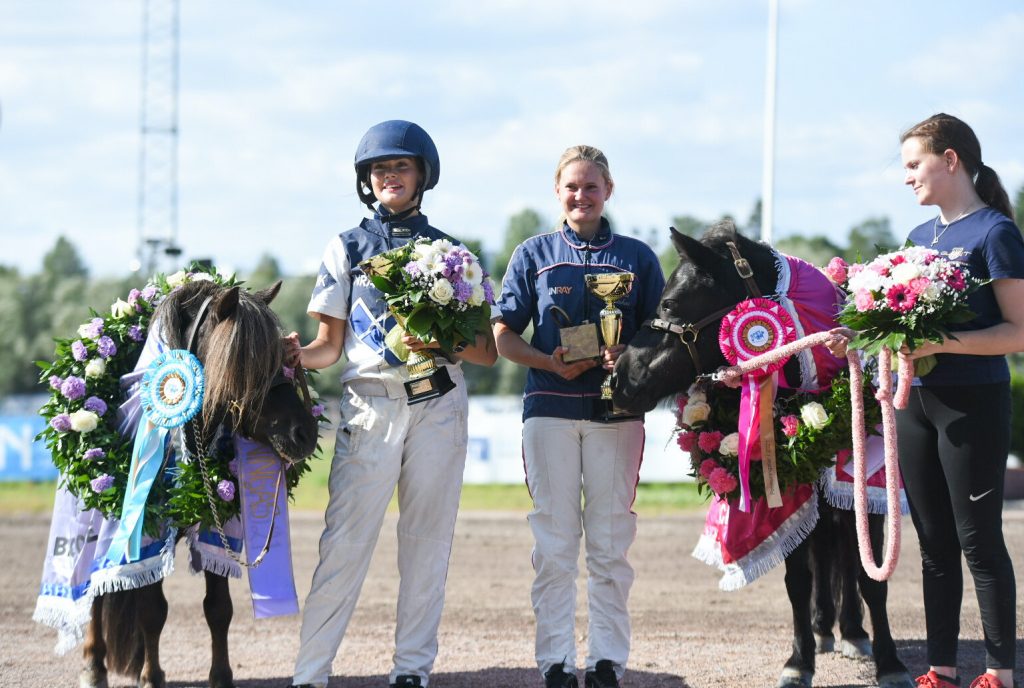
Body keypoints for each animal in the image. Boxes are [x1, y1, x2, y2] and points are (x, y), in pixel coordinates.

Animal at [78, 278, 317, 688]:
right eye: (245, 364)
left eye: (284, 357)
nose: (305, 433)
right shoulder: (148, 527)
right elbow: (152, 610)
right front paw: (151, 676)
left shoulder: (215, 521)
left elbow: (218, 608)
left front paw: (220, 675)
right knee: (94, 589)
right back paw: (94, 667)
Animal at [606, 223, 913, 683]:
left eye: (670, 302)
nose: (620, 378)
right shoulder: (787, 486)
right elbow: (798, 579)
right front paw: (799, 661)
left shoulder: (868, 487)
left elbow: (871, 576)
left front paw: (890, 663)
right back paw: (826, 627)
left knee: (843, 550)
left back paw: (854, 632)